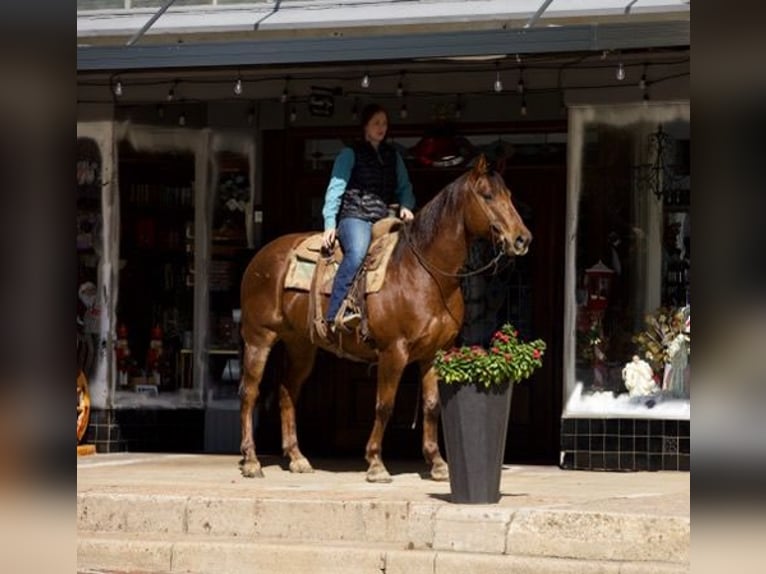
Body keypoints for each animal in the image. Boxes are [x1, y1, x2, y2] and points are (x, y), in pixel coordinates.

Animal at [240, 155, 536, 484]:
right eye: (487, 195)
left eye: (509, 195)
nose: (521, 239)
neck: (424, 274)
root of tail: (261, 257)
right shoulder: (394, 351)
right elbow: (385, 405)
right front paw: (376, 464)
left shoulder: (434, 353)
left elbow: (432, 406)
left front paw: (437, 463)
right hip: (259, 338)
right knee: (249, 393)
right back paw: (251, 461)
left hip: (301, 346)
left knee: (287, 392)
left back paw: (297, 458)